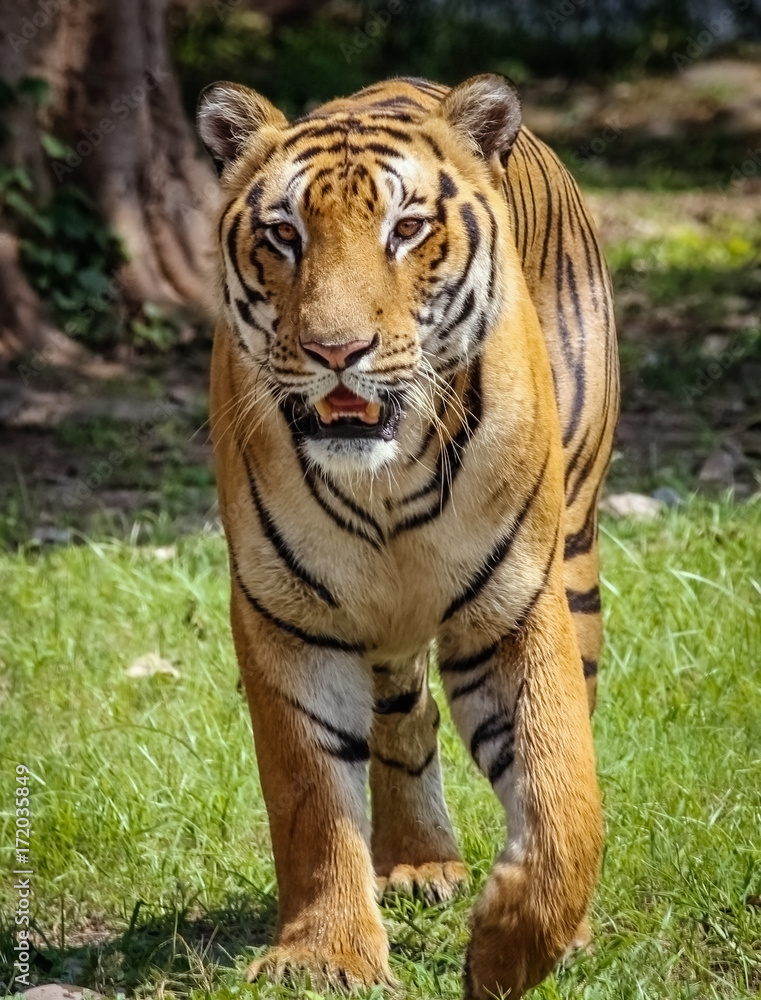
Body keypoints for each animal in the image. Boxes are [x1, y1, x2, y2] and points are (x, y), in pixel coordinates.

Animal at [197, 72, 619, 999]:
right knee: (403, 716)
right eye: (284, 234)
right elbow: (311, 798)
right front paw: (324, 955)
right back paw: (416, 862)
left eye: (407, 229)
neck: (386, 481)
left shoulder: (515, 607)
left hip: (573, 553)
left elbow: (564, 794)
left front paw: (510, 948)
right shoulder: (285, 614)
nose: (336, 350)